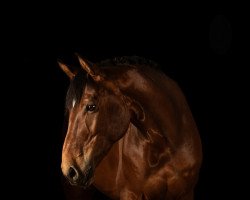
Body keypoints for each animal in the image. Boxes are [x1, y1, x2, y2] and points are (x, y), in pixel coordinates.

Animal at [59, 55, 203, 200]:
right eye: (68, 111)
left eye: (91, 106)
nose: (69, 169)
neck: (166, 145)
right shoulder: (131, 194)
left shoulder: (186, 194)